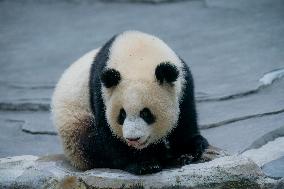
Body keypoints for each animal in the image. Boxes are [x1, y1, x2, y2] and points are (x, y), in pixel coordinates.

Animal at [51, 30, 209, 174]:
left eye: (146, 113)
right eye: (122, 115)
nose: (133, 139)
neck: (138, 55)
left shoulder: (183, 83)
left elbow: (184, 119)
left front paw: (187, 152)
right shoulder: (101, 92)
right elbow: (109, 135)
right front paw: (144, 164)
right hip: (74, 126)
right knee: (90, 145)